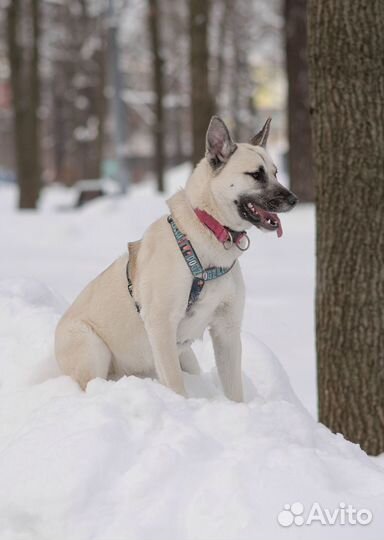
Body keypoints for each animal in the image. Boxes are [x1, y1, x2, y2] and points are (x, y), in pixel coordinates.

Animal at [54, 115, 296, 400]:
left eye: (276, 173)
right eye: (256, 175)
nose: (294, 199)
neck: (208, 232)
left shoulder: (226, 329)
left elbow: (234, 389)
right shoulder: (161, 325)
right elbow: (176, 385)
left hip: (187, 356)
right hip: (92, 347)